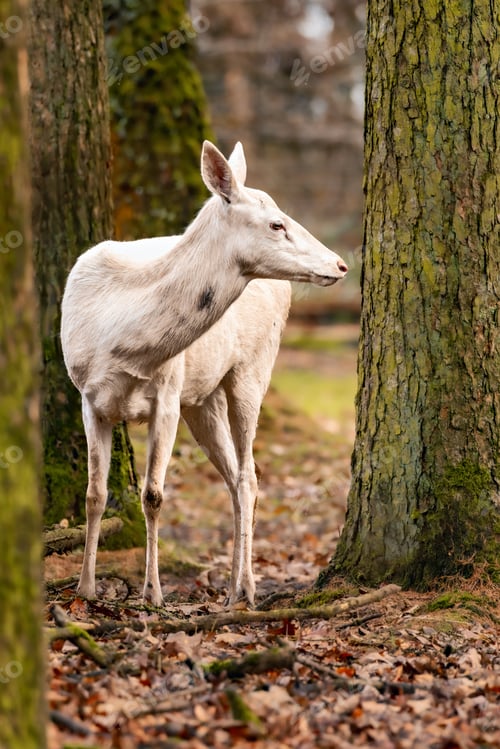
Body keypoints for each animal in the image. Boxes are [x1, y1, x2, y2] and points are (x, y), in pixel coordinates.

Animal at [61, 140, 348, 607]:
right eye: (276, 223)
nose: (340, 265)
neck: (121, 343)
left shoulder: (167, 395)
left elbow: (153, 494)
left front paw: (153, 594)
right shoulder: (88, 397)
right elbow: (94, 494)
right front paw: (85, 590)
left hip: (253, 368)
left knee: (249, 476)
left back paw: (245, 588)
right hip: (202, 400)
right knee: (232, 476)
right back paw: (232, 586)